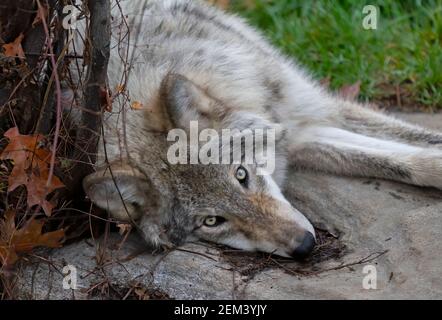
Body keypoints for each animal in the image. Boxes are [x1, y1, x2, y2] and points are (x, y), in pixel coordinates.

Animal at [79, 0, 442, 258]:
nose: (304, 246)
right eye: (212, 221)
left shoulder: (311, 113)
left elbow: (417, 147)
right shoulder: (302, 136)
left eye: (241, 175)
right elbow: (400, 161)